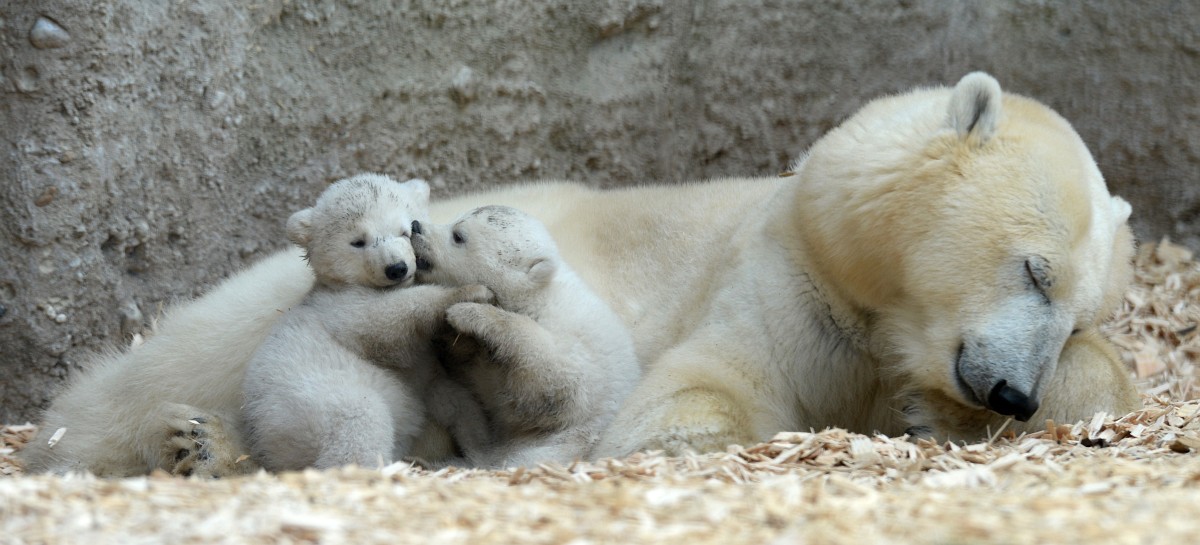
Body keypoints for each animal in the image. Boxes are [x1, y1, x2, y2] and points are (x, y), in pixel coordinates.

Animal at [23, 71, 1137, 472]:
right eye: (1035, 270)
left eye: (1079, 310)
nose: (1008, 388)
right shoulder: (788, 276)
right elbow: (699, 391)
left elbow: (1116, 384)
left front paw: (928, 413)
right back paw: (170, 440)